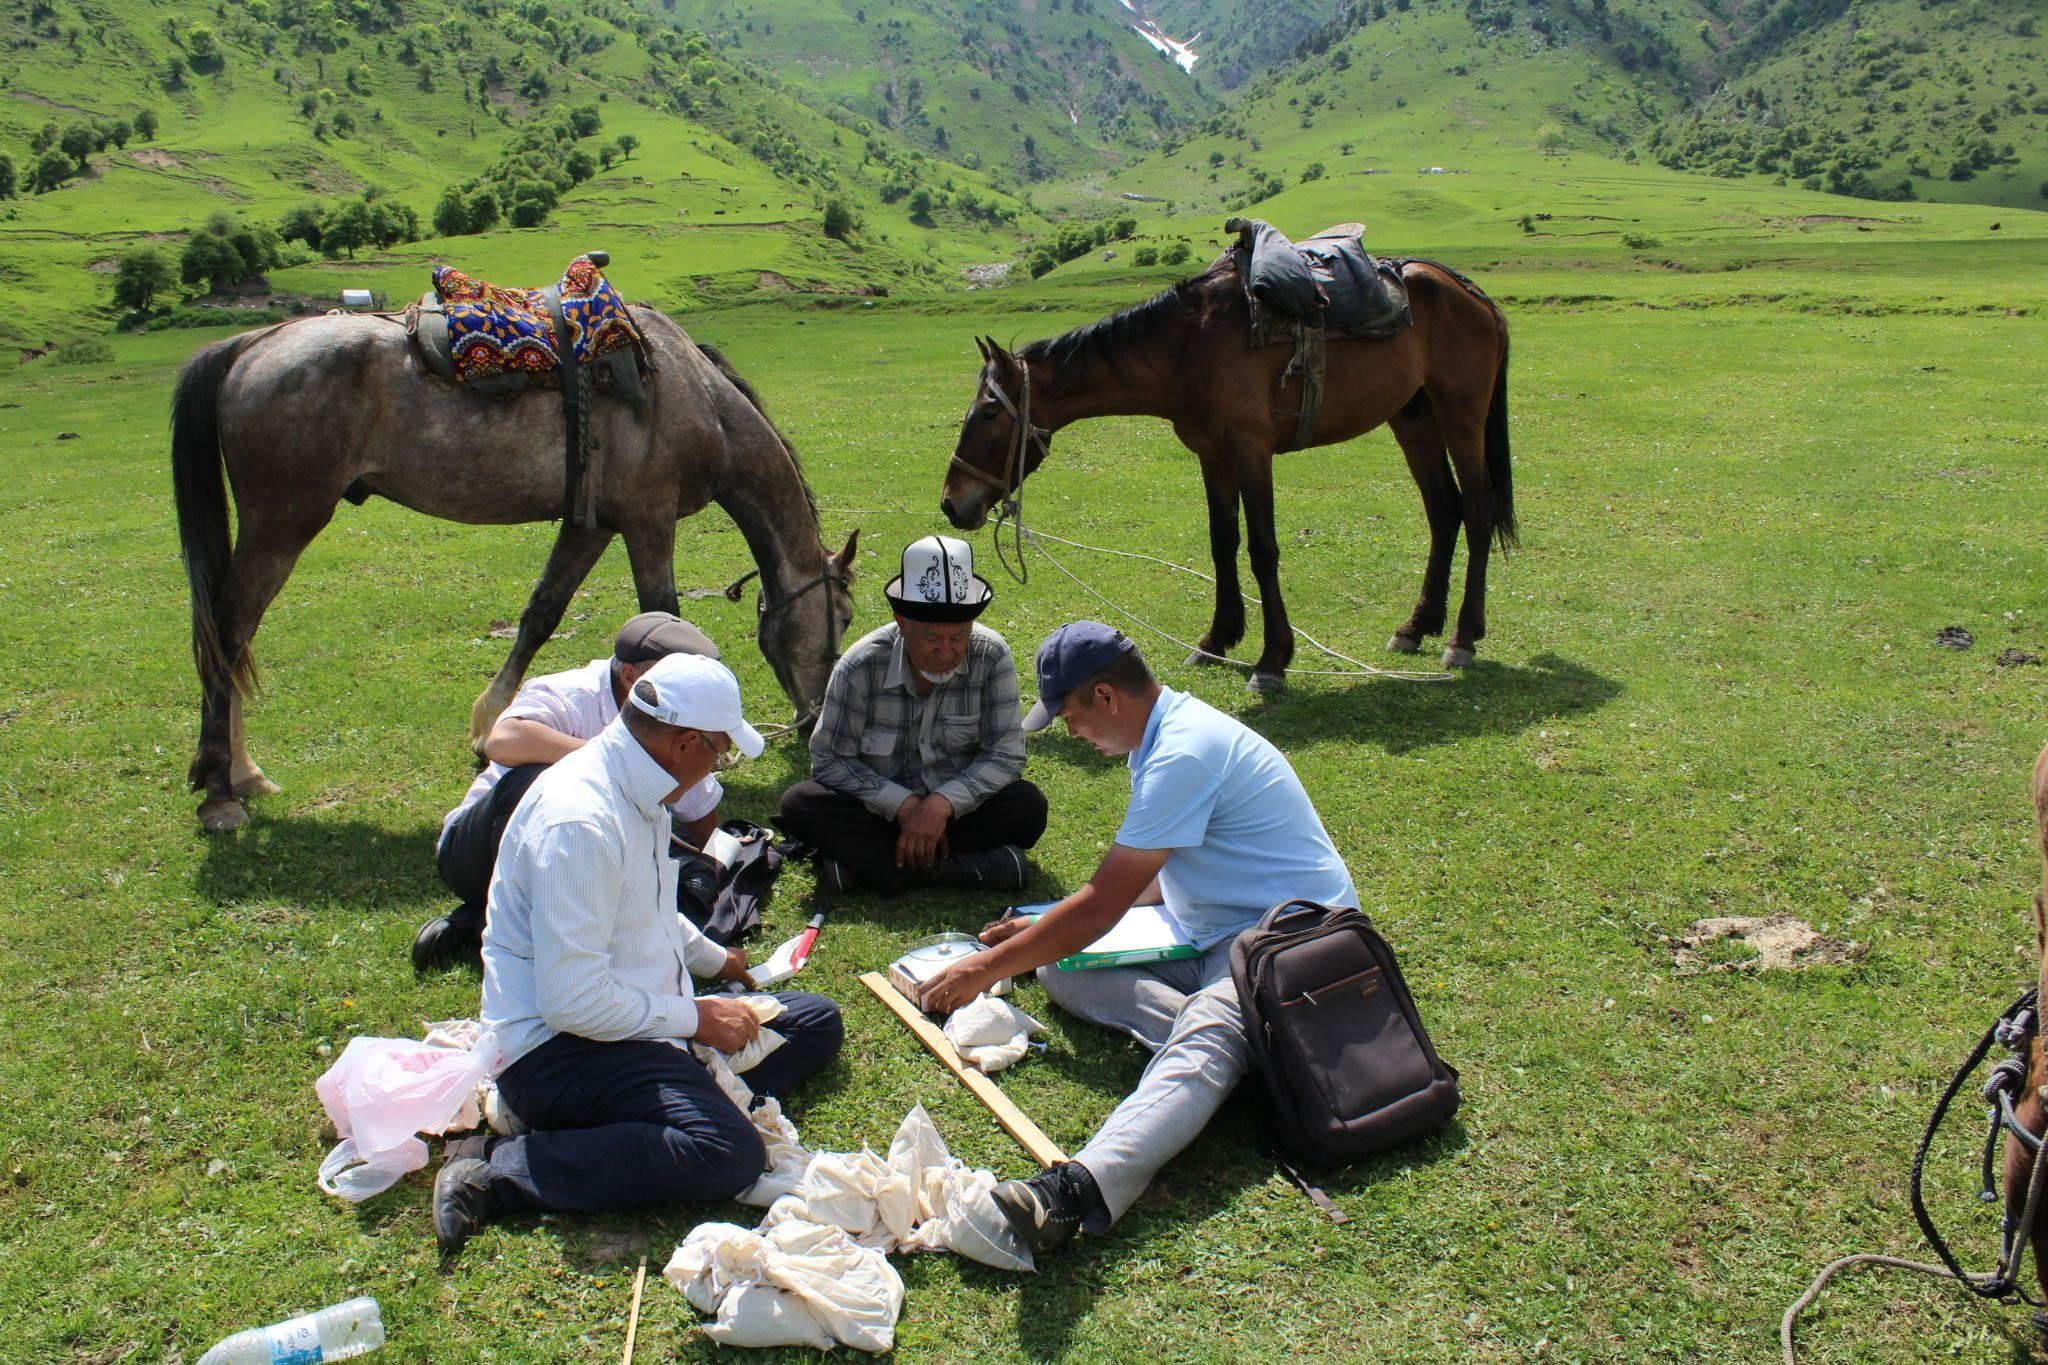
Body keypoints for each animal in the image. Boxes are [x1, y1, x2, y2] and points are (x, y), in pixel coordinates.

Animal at [165, 309, 856, 834]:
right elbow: (661, 613)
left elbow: (541, 613)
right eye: (843, 617)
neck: (695, 396)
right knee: (228, 632)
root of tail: (253, 345)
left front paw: (487, 725)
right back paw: (221, 793)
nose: (812, 720)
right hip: (281, 523)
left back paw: (239, 772)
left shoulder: (591, 524)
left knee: (233, 639)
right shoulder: (648, 519)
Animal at [937, 249, 1507, 687]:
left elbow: (1261, 549)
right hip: (1413, 418)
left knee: (1478, 512)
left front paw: (1273, 659)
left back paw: (1462, 638)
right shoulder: (1212, 455)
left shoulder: (1251, 450)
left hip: (1461, 416)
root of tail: (1470, 293)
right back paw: (1416, 626)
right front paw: (1218, 638)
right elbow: (1222, 542)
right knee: (1444, 511)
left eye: (988, 413)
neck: (1188, 348)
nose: (951, 501)